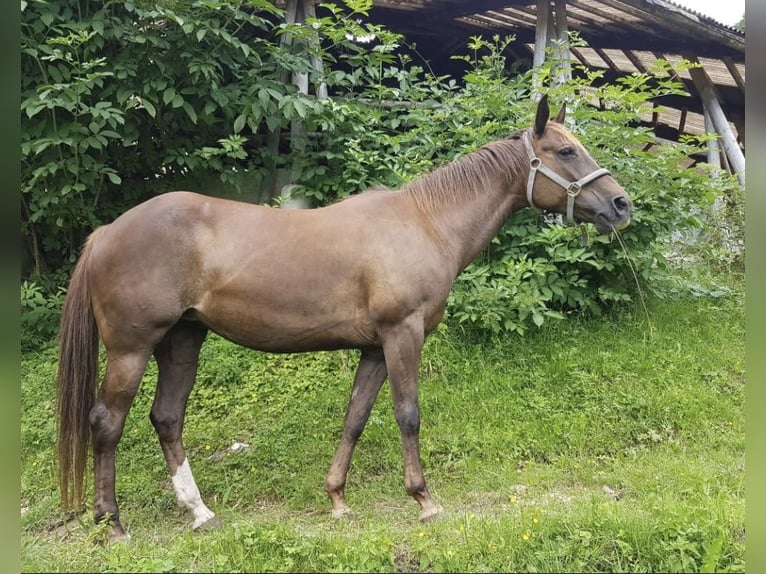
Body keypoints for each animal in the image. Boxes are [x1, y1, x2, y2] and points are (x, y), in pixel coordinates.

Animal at [56, 95, 632, 541]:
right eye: (566, 151)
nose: (621, 205)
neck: (426, 222)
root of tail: (107, 231)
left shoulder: (374, 347)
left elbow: (355, 417)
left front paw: (337, 499)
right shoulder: (403, 335)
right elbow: (407, 414)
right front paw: (424, 501)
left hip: (182, 340)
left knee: (167, 418)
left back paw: (199, 513)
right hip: (132, 349)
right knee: (107, 423)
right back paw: (113, 524)